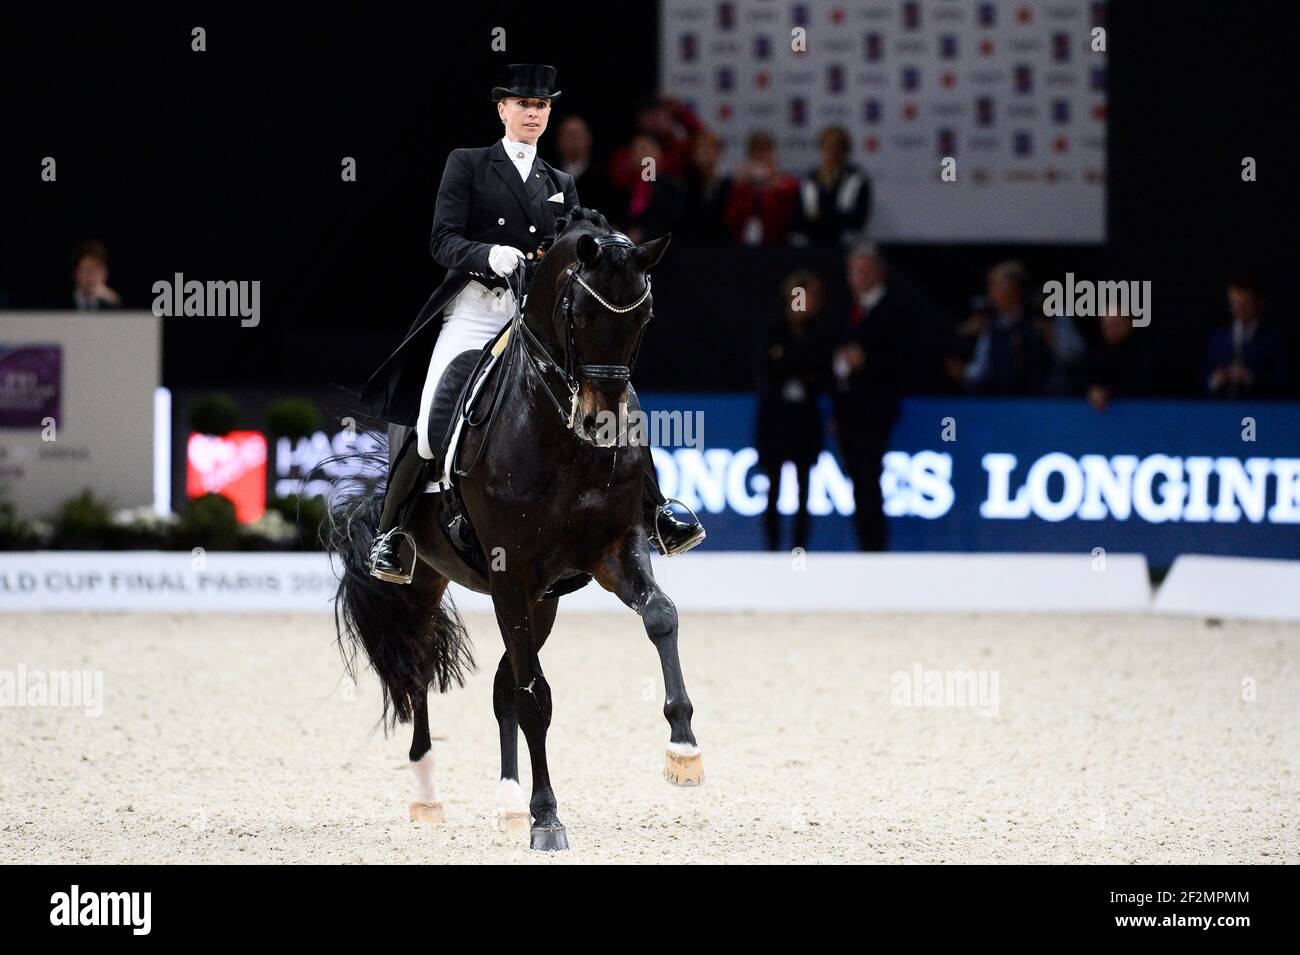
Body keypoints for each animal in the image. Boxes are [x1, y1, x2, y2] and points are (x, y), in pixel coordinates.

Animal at [330, 207, 707, 852]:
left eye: (645, 316)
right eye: (579, 315)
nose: (603, 423)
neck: (561, 438)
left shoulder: (613, 550)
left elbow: (660, 616)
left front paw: (683, 746)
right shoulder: (510, 569)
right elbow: (536, 698)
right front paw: (548, 819)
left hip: (544, 600)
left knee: (502, 682)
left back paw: (508, 803)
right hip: (429, 582)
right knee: (418, 668)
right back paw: (428, 794)